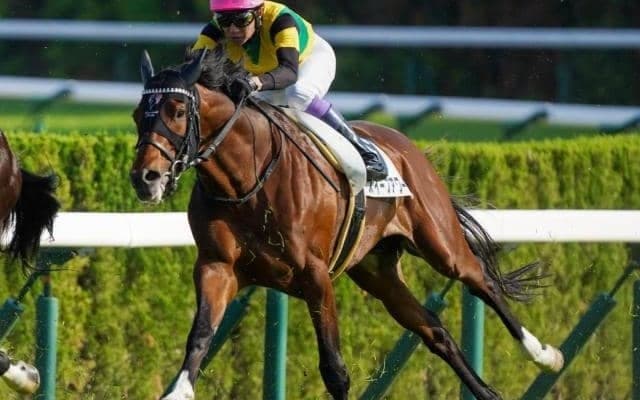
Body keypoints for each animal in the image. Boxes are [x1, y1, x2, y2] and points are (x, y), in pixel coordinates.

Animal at [130, 49, 564, 400]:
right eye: (137, 116)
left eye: (177, 111)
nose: (144, 178)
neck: (245, 181)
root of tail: (405, 145)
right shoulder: (217, 267)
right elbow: (200, 336)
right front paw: (178, 391)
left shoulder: (315, 274)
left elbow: (334, 368)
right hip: (378, 272)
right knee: (434, 331)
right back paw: (487, 391)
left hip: (440, 243)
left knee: (480, 280)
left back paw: (544, 355)